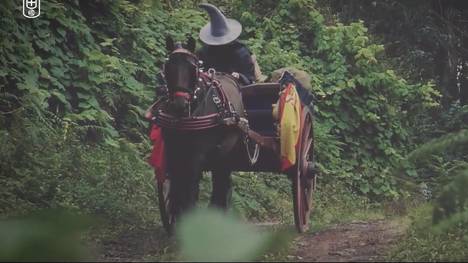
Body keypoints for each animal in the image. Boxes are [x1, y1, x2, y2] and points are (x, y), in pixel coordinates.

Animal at [155, 37, 247, 229]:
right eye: (168, 67)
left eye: (193, 68)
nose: (180, 104)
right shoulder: (172, 152)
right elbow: (176, 187)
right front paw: (175, 219)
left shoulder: (196, 157)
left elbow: (190, 189)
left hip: (225, 154)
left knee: (221, 183)